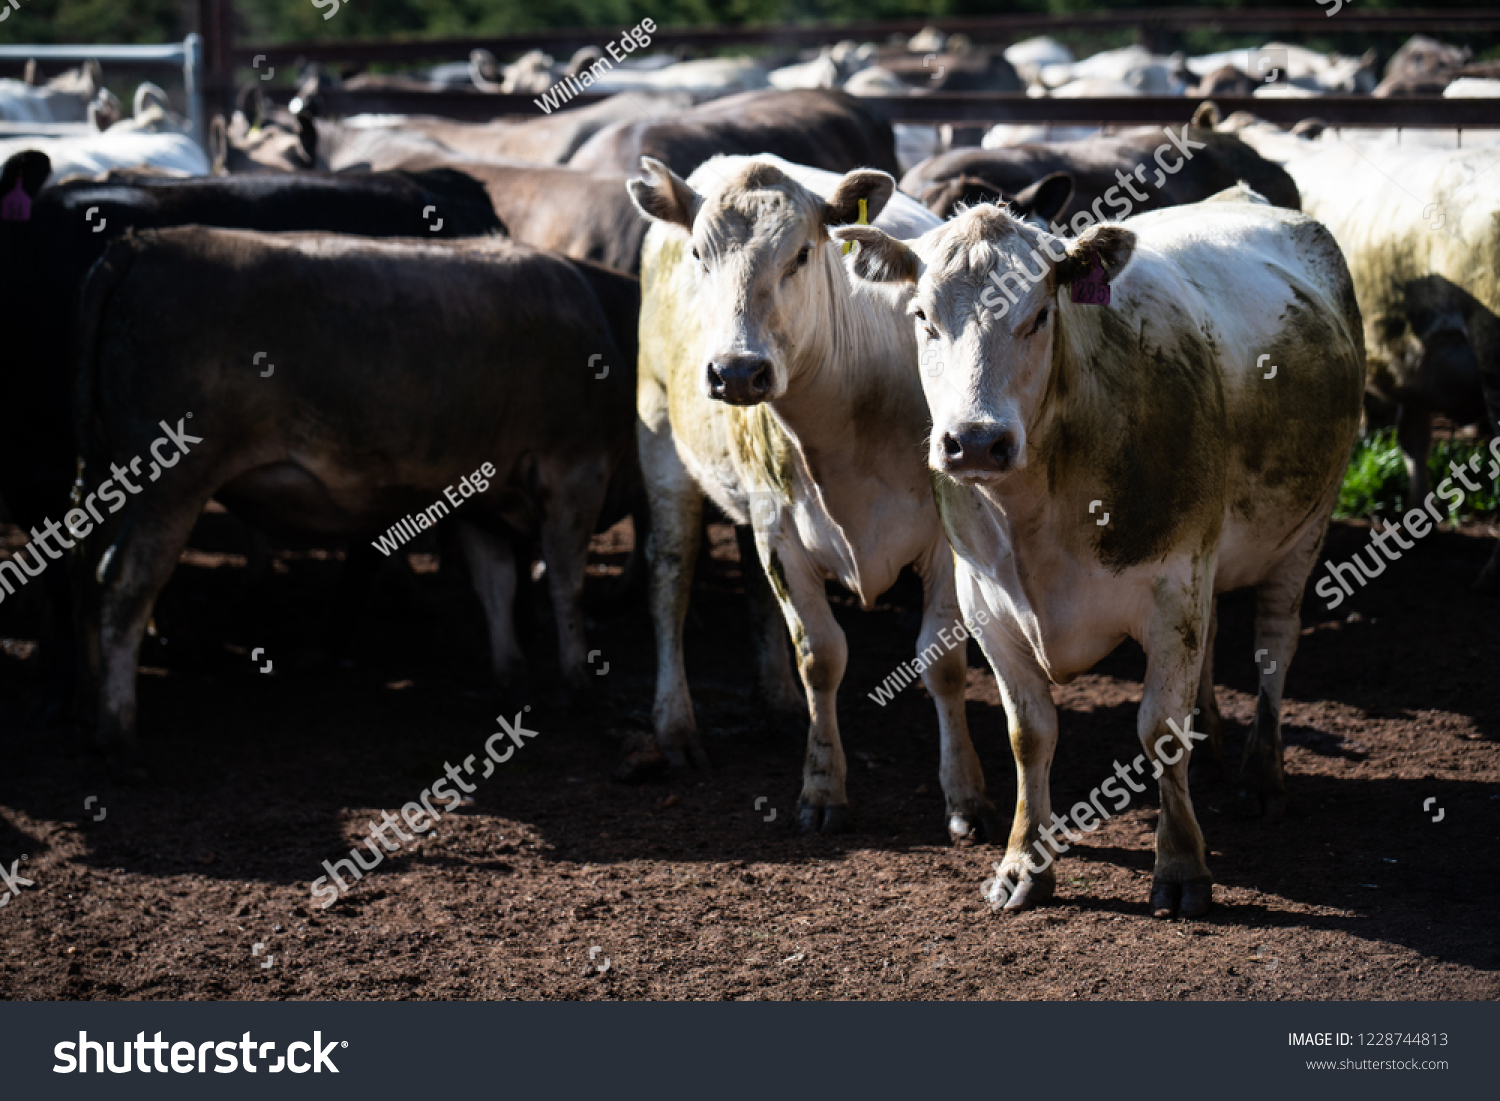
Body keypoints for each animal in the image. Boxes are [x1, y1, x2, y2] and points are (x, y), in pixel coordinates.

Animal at [627, 155, 1002, 840]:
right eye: (698, 253)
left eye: (801, 253)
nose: (737, 372)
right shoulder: (780, 532)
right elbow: (821, 654)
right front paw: (823, 788)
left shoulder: (946, 537)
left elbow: (942, 663)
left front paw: (966, 797)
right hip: (661, 439)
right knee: (670, 578)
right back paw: (676, 727)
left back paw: (775, 703)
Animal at [840, 192, 1368, 924]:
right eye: (922, 317)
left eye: (1039, 315)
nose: (974, 441)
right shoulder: (986, 606)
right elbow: (1030, 734)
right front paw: (1022, 864)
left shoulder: (1175, 585)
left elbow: (1159, 730)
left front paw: (1182, 866)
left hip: (1307, 524)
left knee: (1274, 645)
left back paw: (1262, 774)